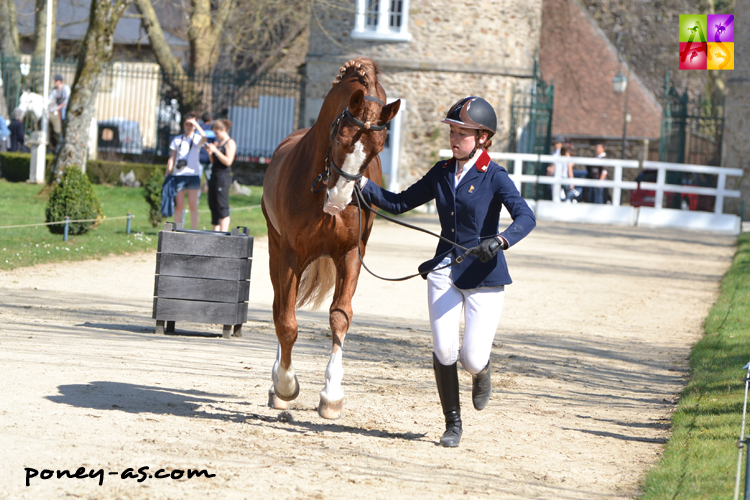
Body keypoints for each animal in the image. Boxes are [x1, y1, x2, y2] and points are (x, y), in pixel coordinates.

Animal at [266, 57, 406, 418]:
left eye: (377, 149)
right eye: (341, 139)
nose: (339, 200)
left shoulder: (351, 255)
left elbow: (340, 316)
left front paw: (331, 395)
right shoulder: (290, 256)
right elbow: (287, 322)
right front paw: (285, 385)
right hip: (275, 250)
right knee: (280, 308)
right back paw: (278, 384)